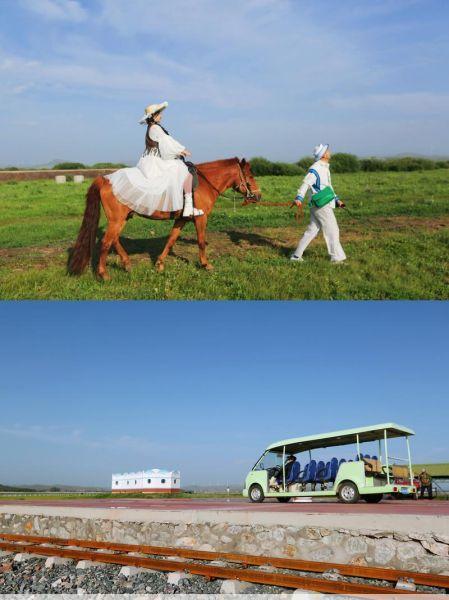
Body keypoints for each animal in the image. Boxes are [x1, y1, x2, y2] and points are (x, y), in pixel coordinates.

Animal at [68, 156, 260, 280]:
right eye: (250, 176)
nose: (258, 196)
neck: (204, 184)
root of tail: (106, 179)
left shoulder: (181, 219)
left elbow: (171, 240)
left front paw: (159, 264)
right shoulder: (201, 219)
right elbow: (200, 242)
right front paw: (206, 265)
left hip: (121, 219)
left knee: (114, 240)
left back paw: (127, 264)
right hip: (117, 220)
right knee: (107, 242)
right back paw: (104, 274)